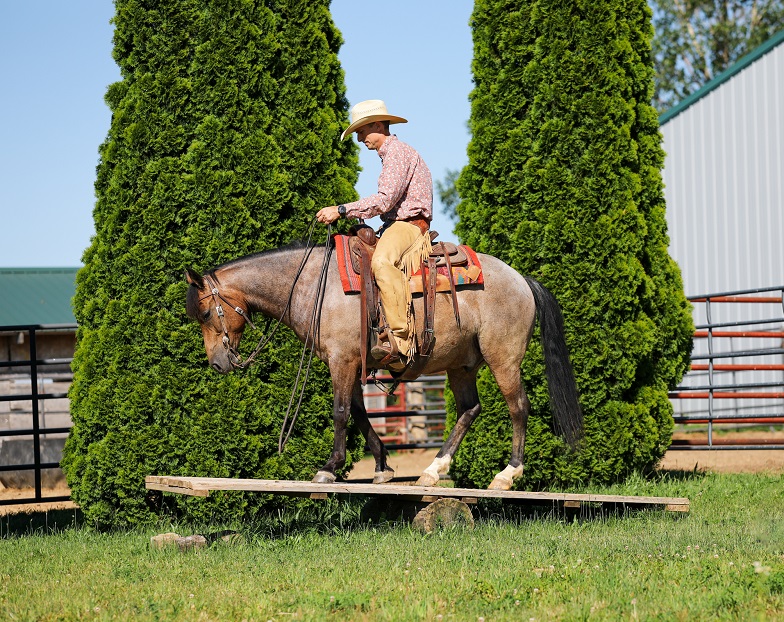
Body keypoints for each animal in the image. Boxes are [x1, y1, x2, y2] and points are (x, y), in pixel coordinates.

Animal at [185, 239, 583, 490]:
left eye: (204, 313)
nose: (217, 364)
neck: (314, 285)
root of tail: (522, 280)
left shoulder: (341, 359)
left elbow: (342, 412)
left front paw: (329, 468)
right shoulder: (353, 362)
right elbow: (361, 413)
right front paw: (382, 465)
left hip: (504, 358)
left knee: (518, 407)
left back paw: (506, 475)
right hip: (462, 365)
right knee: (470, 409)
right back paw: (433, 470)